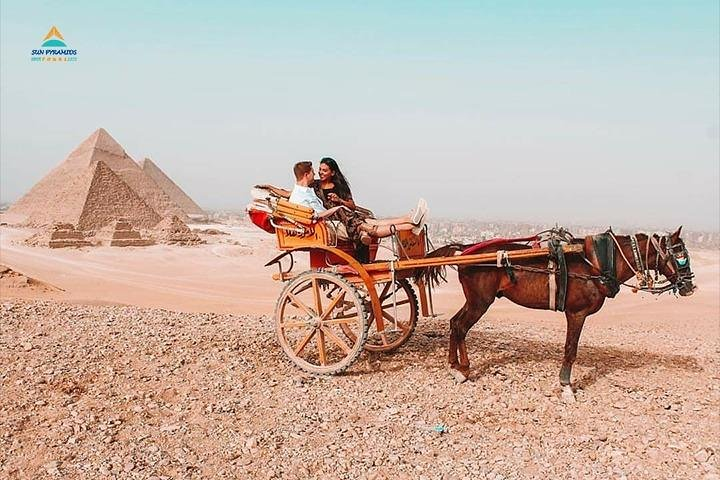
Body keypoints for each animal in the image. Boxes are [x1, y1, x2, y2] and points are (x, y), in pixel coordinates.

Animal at [417, 227, 696, 402]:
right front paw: (566, 386)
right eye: (680, 255)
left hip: (476, 300)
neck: (597, 263)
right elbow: (570, 349)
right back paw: (458, 369)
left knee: (456, 324)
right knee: (460, 326)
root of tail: (465, 249)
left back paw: (460, 366)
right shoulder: (576, 313)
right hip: (479, 302)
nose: (690, 286)